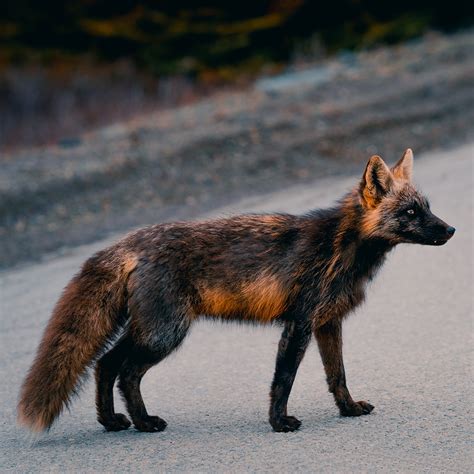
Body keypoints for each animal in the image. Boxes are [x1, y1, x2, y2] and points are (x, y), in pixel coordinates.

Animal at [18, 150, 456, 436]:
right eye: (411, 213)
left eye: (427, 208)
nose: (451, 230)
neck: (341, 248)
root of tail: (130, 241)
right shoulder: (299, 324)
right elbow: (284, 380)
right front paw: (279, 423)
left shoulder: (328, 322)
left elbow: (338, 376)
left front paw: (348, 410)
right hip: (164, 335)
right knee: (125, 372)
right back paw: (143, 423)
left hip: (150, 331)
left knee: (105, 364)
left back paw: (111, 422)